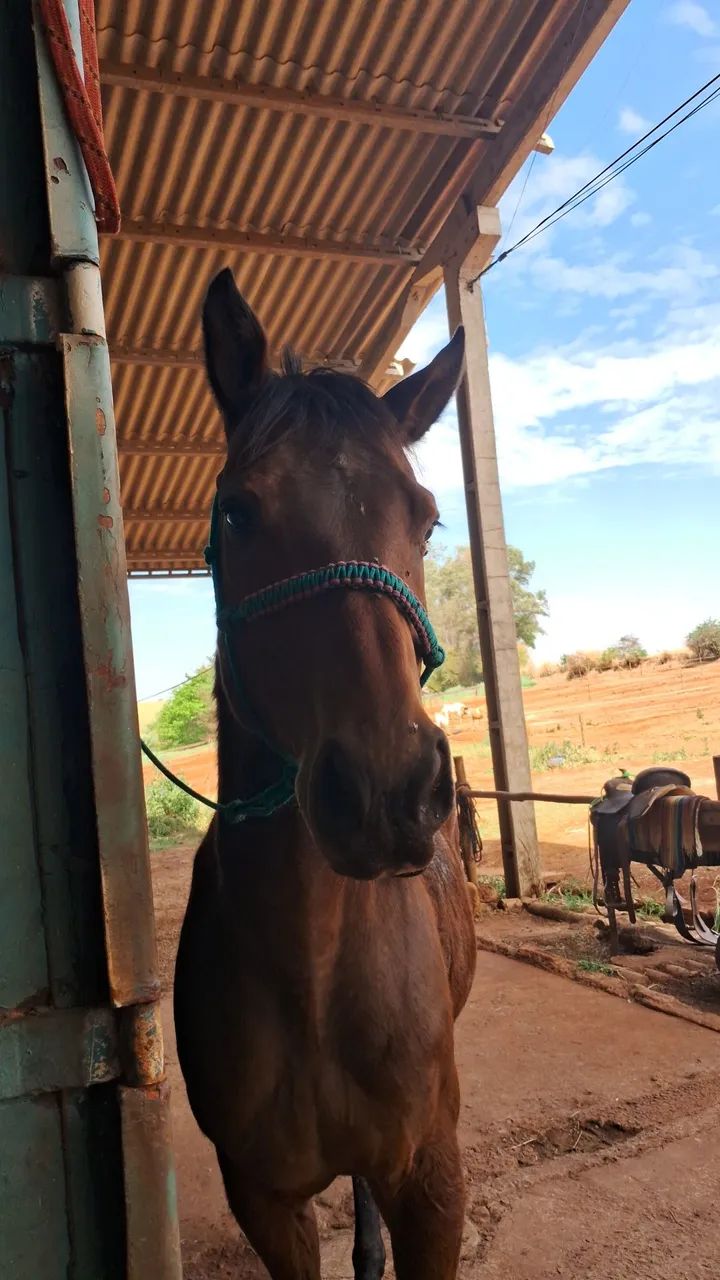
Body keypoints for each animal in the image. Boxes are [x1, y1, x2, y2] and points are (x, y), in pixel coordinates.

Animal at [174, 268, 477, 1280]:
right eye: (238, 510)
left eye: (426, 515)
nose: (389, 794)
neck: (311, 970)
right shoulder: (264, 1201)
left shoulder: (433, 1182)